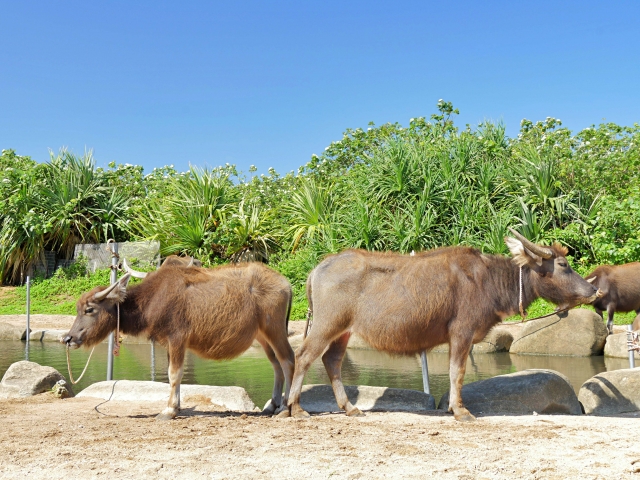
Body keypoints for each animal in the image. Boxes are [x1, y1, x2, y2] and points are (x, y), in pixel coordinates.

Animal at [61, 262, 296, 420]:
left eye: (89, 309)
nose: (68, 338)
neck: (152, 299)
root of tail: (286, 284)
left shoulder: (177, 339)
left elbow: (174, 374)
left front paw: (169, 410)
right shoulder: (169, 343)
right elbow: (174, 376)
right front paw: (177, 406)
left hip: (275, 330)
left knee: (288, 361)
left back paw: (286, 408)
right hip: (263, 336)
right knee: (276, 365)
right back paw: (272, 405)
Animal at [284, 229, 600, 420]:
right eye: (563, 266)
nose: (593, 290)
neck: (488, 280)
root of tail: (316, 270)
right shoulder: (462, 333)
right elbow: (457, 372)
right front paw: (460, 410)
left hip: (343, 331)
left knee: (332, 361)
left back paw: (350, 408)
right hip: (327, 325)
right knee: (303, 356)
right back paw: (296, 408)